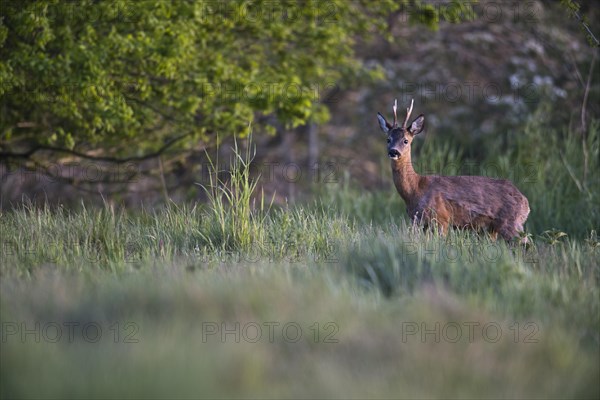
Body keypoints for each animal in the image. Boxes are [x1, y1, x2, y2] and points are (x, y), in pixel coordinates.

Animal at [378, 99, 528, 241]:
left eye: (405, 140)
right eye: (388, 139)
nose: (393, 151)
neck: (415, 190)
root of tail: (525, 202)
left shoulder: (441, 218)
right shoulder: (419, 222)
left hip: (511, 223)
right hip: (492, 230)